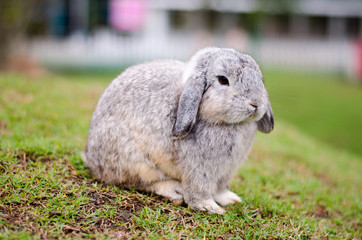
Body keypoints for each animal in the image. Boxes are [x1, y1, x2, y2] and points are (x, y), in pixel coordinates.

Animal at [82, 47, 274, 214]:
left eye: (261, 78)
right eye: (223, 80)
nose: (256, 104)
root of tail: (92, 159)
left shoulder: (226, 171)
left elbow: (220, 188)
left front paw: (230, 199)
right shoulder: (198, 170)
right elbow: (198, 190)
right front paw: (209, 208)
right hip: (135, 162)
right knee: (138, 183)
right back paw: (174, 191)